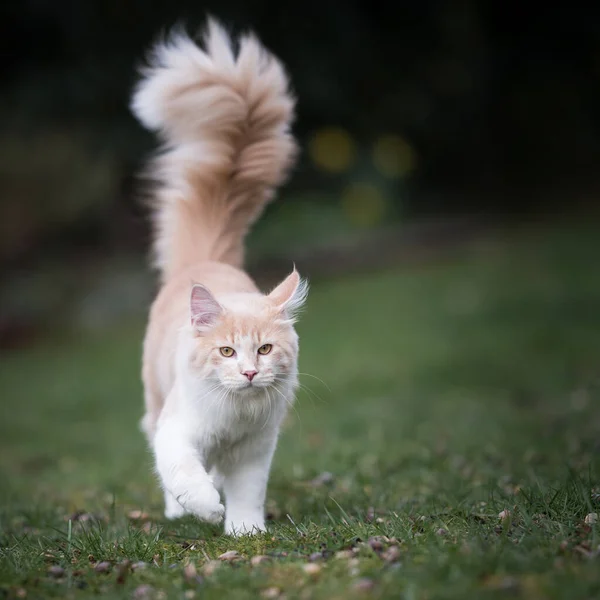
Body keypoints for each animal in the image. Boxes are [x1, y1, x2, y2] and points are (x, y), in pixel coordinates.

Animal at [132, 17, 308, 536]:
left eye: (265, 350)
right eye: (227, 352)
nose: (249, 372)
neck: (235, 415)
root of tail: (203, 261)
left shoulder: (255, 450)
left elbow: (248, 493)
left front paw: (245, 531)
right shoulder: (176, 432)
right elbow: (183, 474)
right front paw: (205, 509)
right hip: (155, 400)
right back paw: (177, 511)